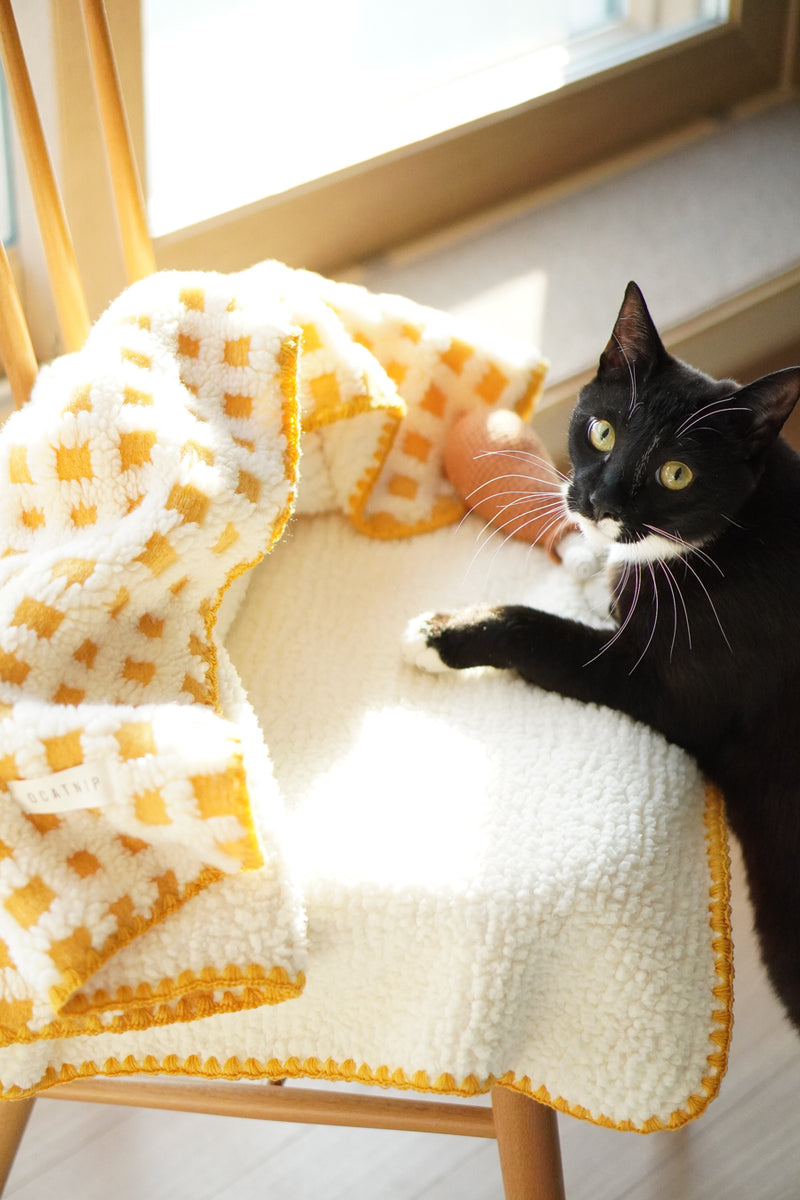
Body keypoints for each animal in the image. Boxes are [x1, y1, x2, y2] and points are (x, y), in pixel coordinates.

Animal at [410, 278, 800, 1022]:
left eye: (677, 473)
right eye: (602, 430)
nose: (595, 497)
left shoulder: (667, 690)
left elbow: (539, 628)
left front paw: (441, 633)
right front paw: (584, 560)